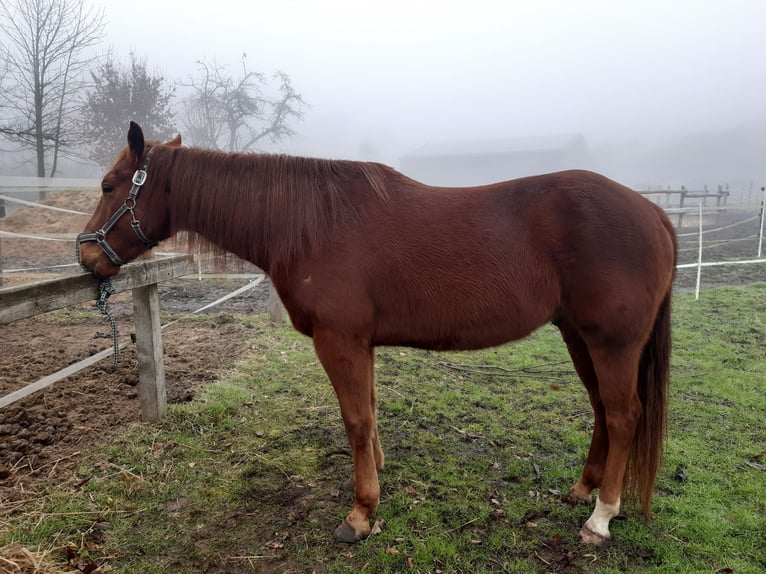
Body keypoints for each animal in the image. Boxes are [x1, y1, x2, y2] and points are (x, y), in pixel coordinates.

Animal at [78, 122, 677, 545]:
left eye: (109, 186)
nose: (86, 257)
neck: (308, 223)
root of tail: (653, 211)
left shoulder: (338, 340)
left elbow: (355, 419)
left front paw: (361, 512)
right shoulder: (359, 344)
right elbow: (367, 408)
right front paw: (375, 478)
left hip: (613, 342)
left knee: (624, 416)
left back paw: (601, 518)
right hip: (579, 336)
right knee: (602, 409)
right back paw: (582, 490)